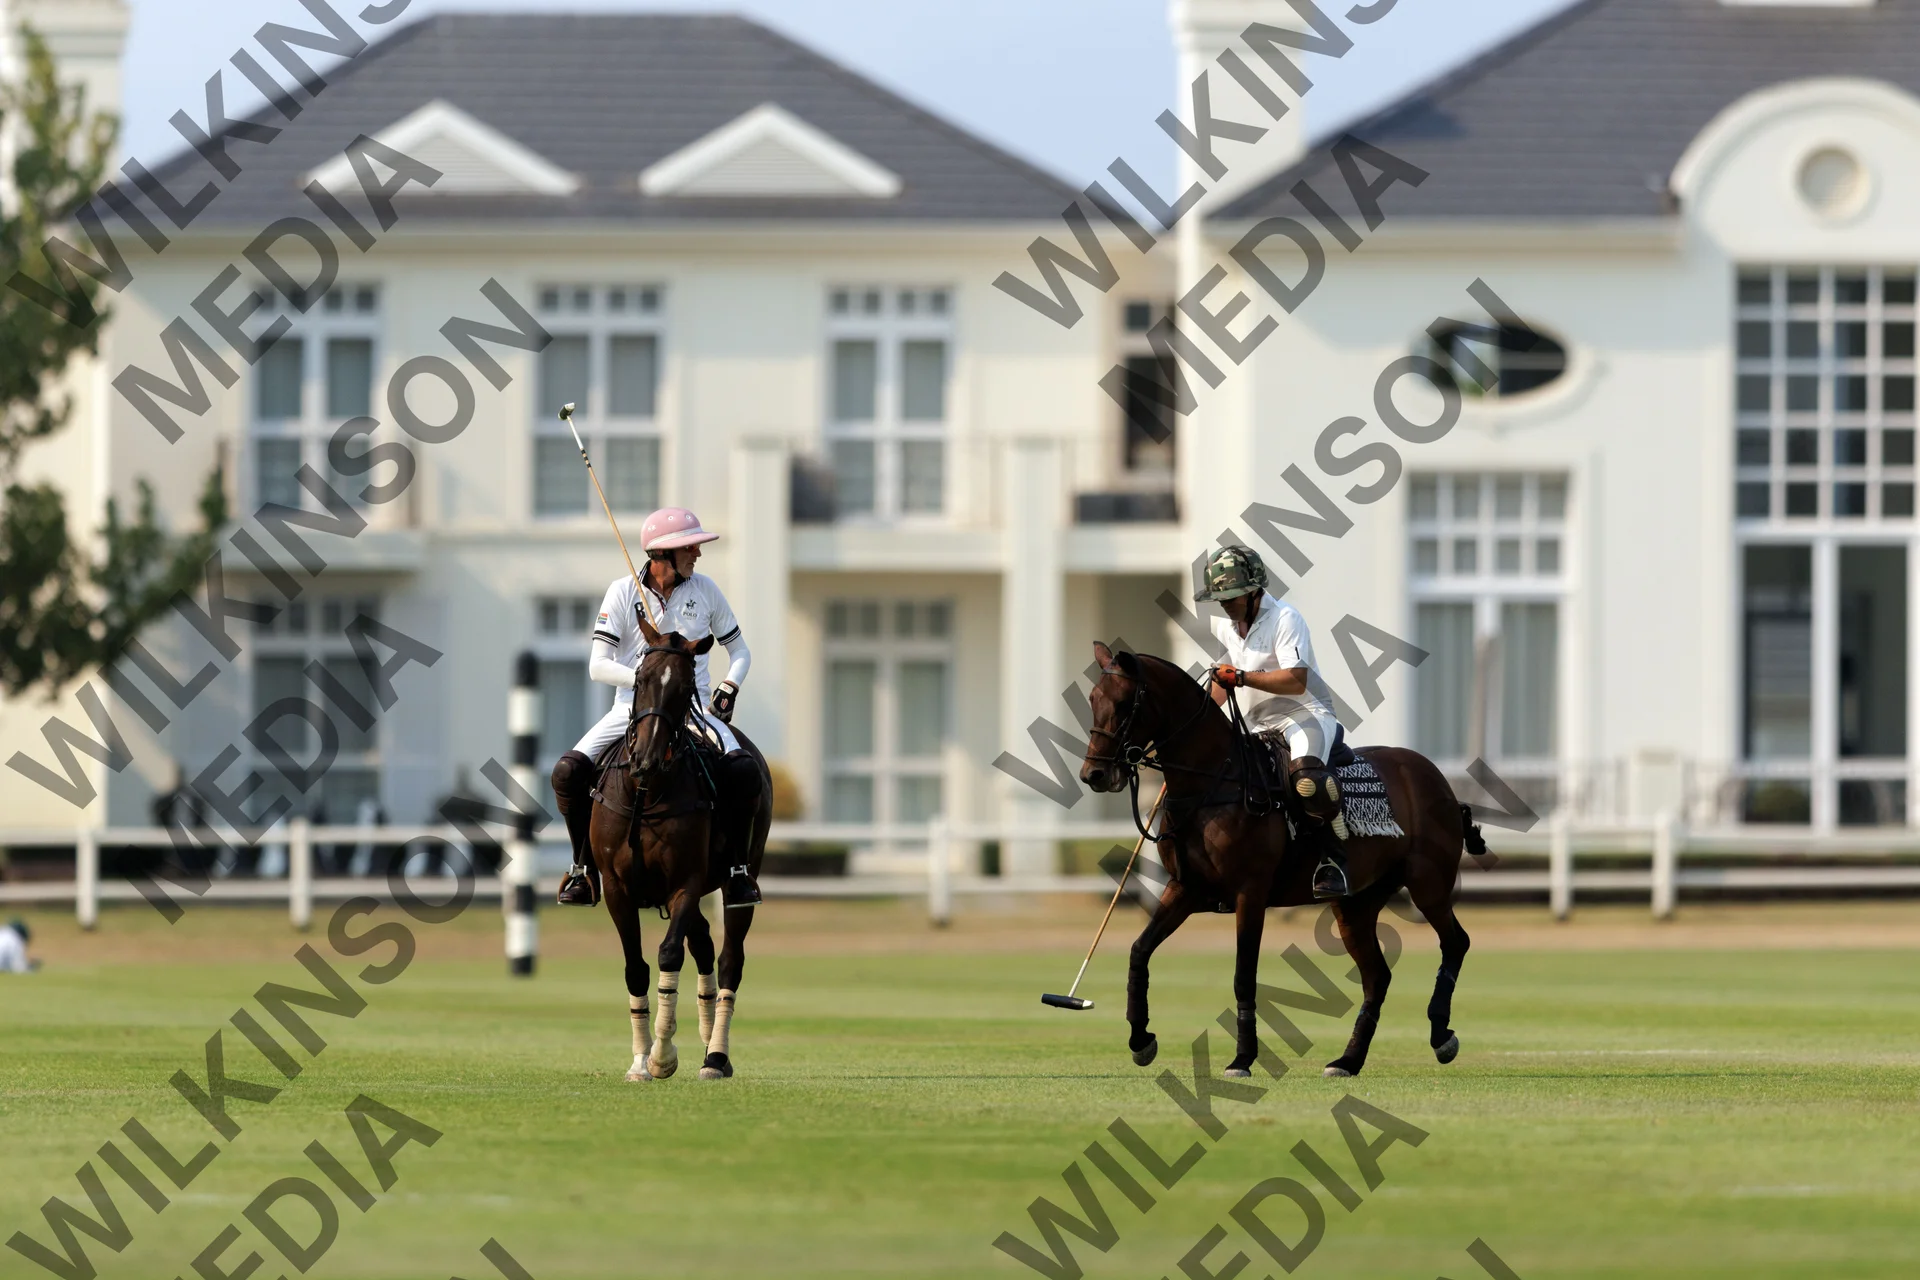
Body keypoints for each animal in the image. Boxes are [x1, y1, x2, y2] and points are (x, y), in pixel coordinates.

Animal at [588, 613, 771, 1083]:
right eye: (640, 677)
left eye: (686, 687)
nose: (647, 760)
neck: (647, 792)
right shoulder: (616, 889)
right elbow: (636, 968)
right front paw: (640, 1061)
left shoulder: (685, 882)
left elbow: (669, 955)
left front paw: (662, 1054)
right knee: (703, 943)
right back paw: (706, 1036)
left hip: (738, 879)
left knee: (729, 959)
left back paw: (716, 1056)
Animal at [1078, 642, 1484, 1079]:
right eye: (1093, 700)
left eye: (1124, 704)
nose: (1094, 775)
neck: (1212, 781)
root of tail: (1436, 776)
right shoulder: (1184, 889)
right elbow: (1140, 950)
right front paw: (1141, 1039)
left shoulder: (1250, 893)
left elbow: (1244, 976)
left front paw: (1242, 1059)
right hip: (1356, 903)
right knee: (1377, 976)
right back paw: (1348, 1060)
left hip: (1428, 883)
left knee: (1455, 941)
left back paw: (1441, 1034)